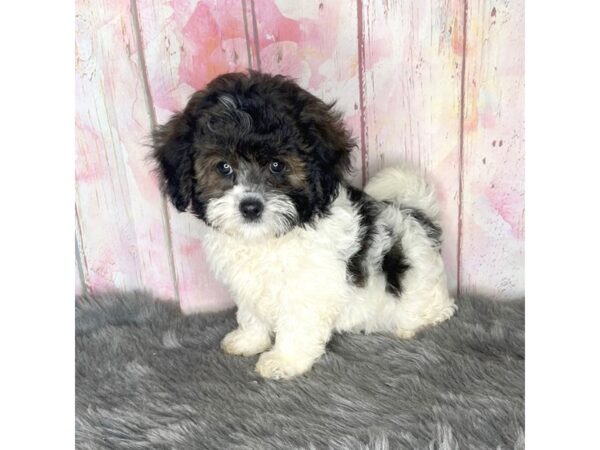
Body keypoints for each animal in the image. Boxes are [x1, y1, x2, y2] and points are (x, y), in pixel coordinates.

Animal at [152, 72, 458, 378]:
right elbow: (251, 314)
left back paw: (411, 325)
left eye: (277, 165)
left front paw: (284, 361)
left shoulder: (308, 288)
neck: (267, 238)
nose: (250, 207)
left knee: (439, 309)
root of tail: (416, 214)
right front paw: (248, 340)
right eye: (223, 167)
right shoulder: (248, 285)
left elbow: (297, 325)